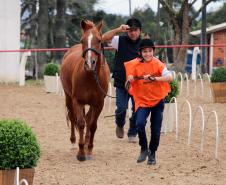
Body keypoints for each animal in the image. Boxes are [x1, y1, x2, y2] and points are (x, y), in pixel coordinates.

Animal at [59, 19, 110, 160]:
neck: (90, 77)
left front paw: (89, 149)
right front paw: (81, 153)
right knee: (72, 118)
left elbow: (92, 125)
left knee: (88, 119)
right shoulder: (77, 101)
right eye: (82, 40)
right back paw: (73, 143)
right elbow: (80, 123)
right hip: (68, 98)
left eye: (99, 40)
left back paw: (87, 143)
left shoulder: (99, 103)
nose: (89, 63)